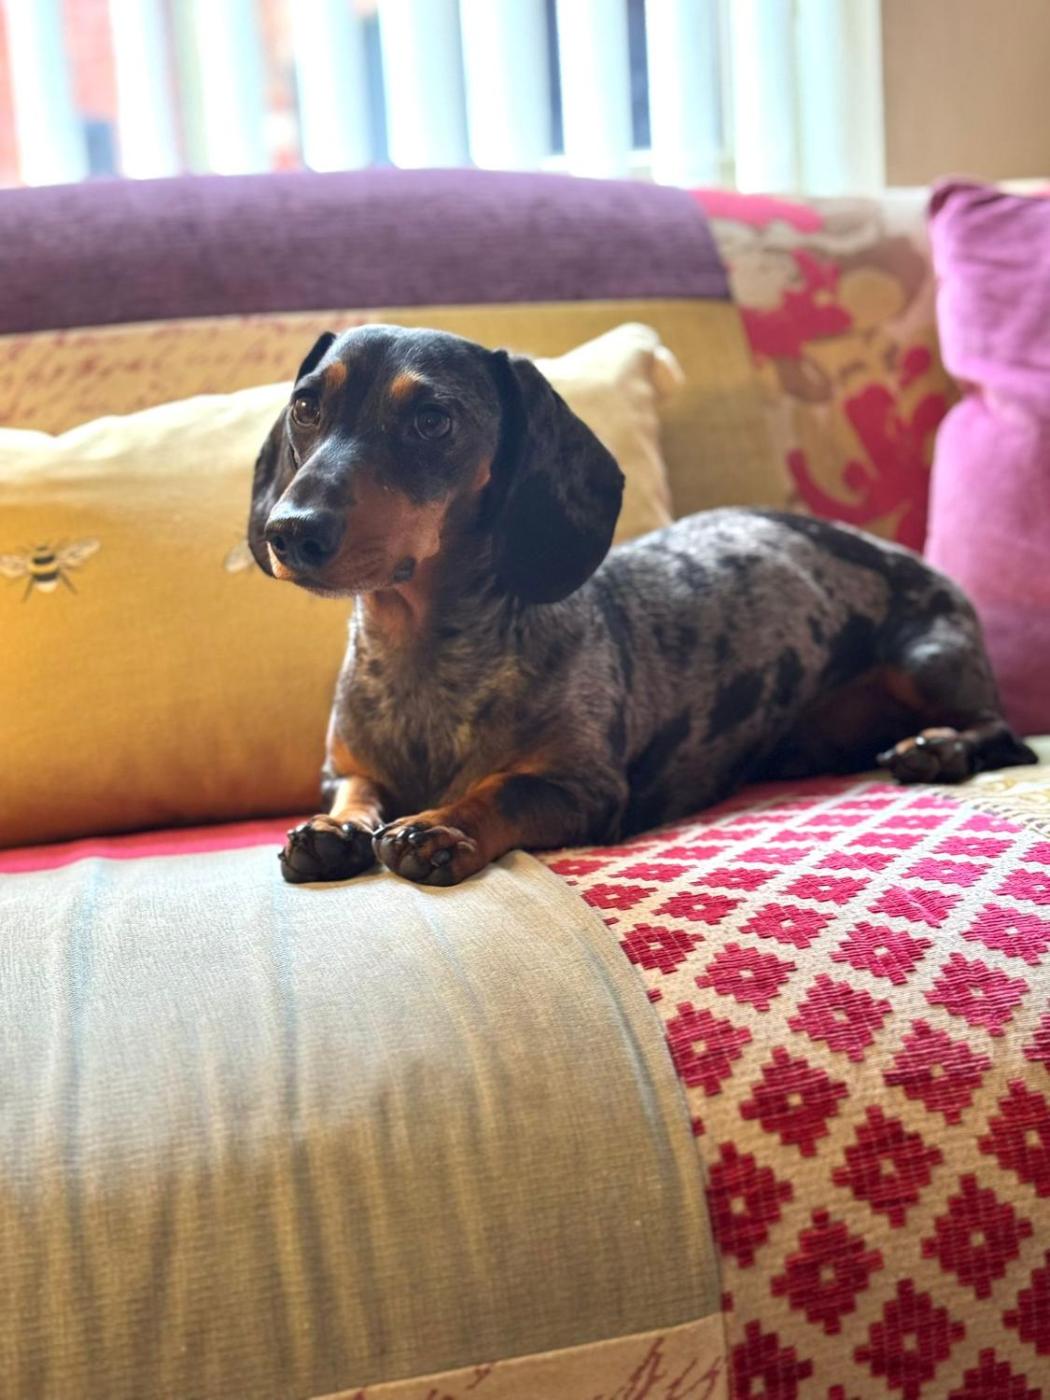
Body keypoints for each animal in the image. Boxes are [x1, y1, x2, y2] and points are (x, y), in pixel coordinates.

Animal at [248, 325, 1036, 887]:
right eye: (306, 405)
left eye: (433, 420)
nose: (290, 531)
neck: (424, 654)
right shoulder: (346, 768)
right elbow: (356, 793)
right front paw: (336, 831)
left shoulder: (585, 788)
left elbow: (503, 792)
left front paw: (443, 824)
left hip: (928, 659)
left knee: (1002, 731)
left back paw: (939, 747)